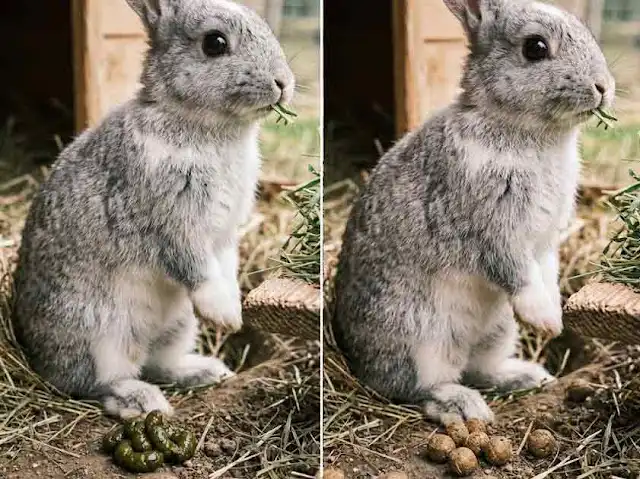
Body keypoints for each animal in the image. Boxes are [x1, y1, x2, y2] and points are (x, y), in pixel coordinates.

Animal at [11, 0, 294, 419]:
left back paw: (207, 371)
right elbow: (197, 269)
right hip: (98, 337)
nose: (283, 83)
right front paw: (226, 317)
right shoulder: (170, 224)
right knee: (98, 383)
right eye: (215, 43)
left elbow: (225, 268)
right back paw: (142, 401)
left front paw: (234, 311)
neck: (200, 125)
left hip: (178, 324)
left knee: (160, 363)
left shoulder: (224, 237)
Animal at [332, 0, 614, 425]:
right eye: (535, 48)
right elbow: (517, 274)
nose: (603, 87)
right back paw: (463, 406)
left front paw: (555, 317)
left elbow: (546, 275)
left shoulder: (544, 244)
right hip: (419, 339)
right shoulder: (492, 229)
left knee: (481, 369)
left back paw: (528, 376)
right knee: (417, 387)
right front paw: (547, 323)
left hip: (497, 330)